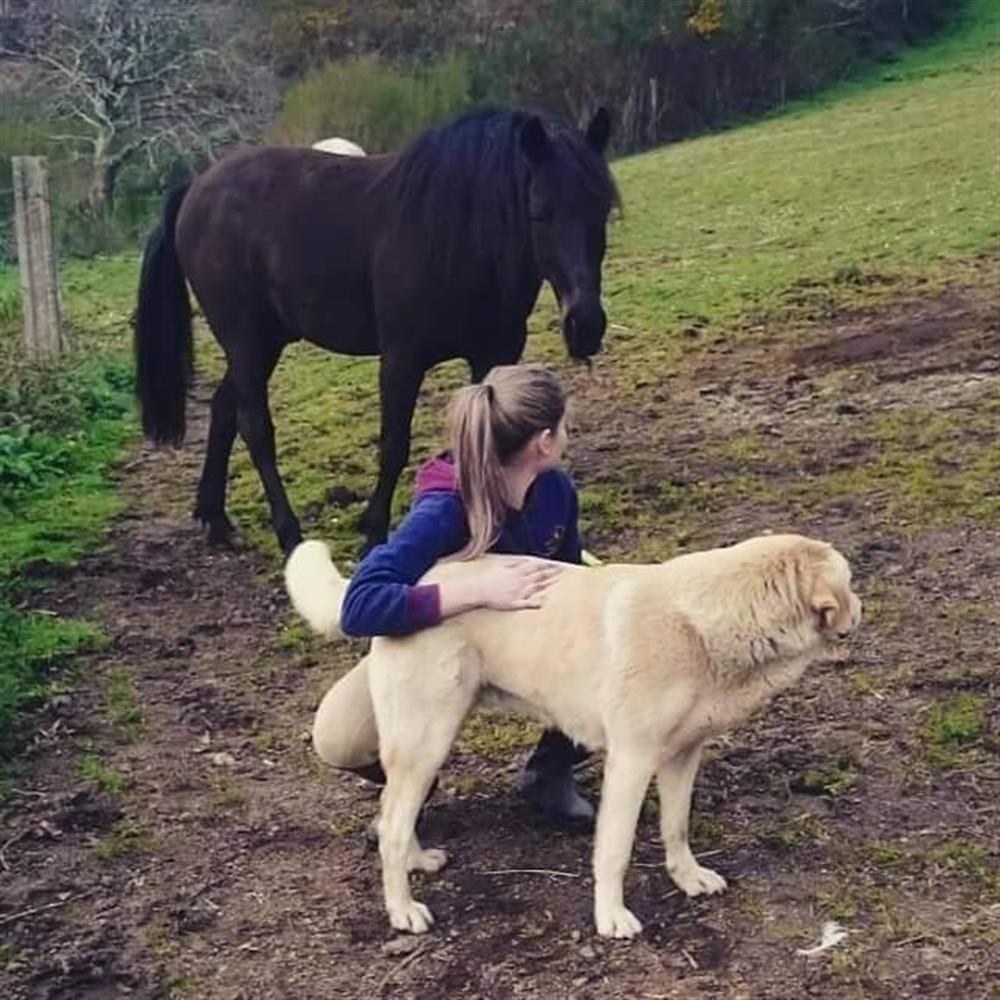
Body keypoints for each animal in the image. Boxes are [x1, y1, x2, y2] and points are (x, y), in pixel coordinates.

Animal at [134, 106, 617, 556]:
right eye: (539, 212)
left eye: (603, 209)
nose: (586, 325)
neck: (460, 234)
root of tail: (196, 188)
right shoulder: (402, 358)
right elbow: (394, 445)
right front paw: (373, 533)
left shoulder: (493, 354)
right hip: (246, 340)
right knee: (255, 427)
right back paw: (289, 534)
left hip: (265, 341)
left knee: (223, 409)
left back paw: (216, 521)